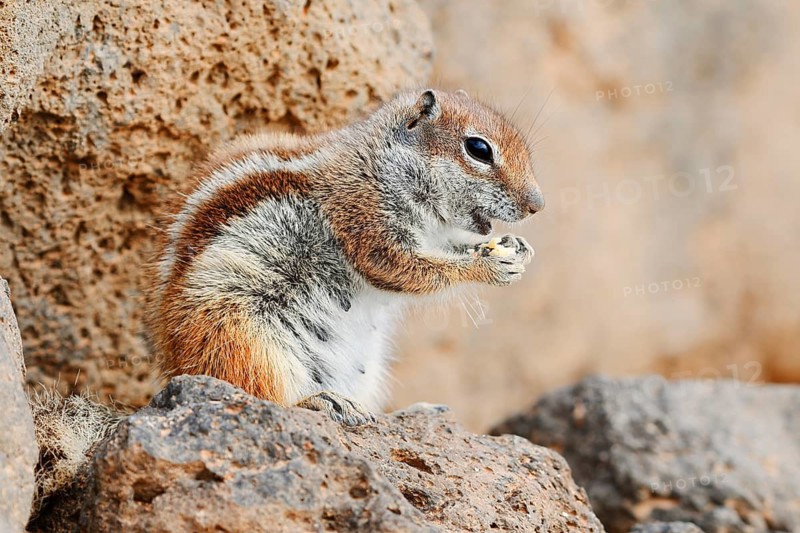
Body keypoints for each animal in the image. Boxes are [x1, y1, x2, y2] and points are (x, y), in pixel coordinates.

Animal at [142, 89, 544, 426]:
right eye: (478, 149)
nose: (537, 205)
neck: (380, 163)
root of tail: (173, 366)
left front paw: (517, 248)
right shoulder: (363, 218)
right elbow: (405, 269)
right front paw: (488, 265)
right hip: (239, 335)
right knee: (256, 390)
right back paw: (322, 401)